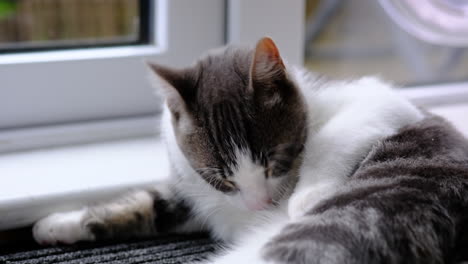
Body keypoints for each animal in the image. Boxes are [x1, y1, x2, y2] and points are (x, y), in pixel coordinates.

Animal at [32, 37, 468, 264]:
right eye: (221, 179)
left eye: (275, 160)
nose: (261, 206)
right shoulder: (194, 191)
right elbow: (148, 204)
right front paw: (60, 223)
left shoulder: (382, 100)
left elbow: (336, 133)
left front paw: (306, 195)